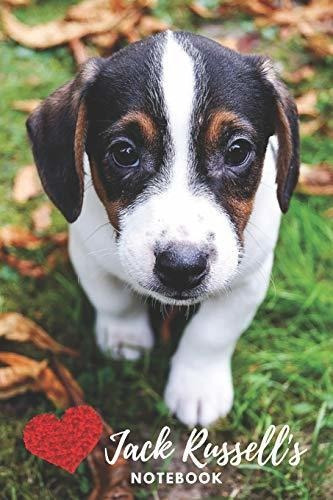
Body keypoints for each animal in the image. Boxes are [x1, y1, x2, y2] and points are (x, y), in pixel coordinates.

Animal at [27, 30, 300, 426]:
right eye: (124, 153)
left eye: (237, 151)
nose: (182, 267)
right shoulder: (87, 255)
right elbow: (113, 300)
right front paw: (125, 338)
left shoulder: (248, 278)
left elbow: (212, 333)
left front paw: (197, 387)